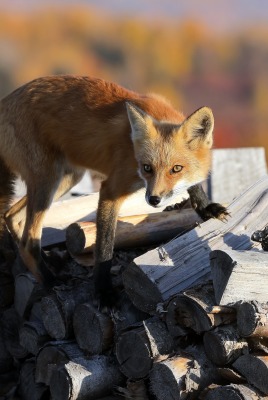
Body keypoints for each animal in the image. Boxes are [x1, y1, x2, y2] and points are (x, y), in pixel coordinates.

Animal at [0, 76, 227, 304]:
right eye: (147, 168)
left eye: (176, 169)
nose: (153, 200)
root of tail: (7, 101)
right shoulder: (111, 190)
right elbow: (105, 246)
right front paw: (104, 291)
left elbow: (194, 185)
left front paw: (207, 208)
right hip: (49, 180)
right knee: (28, 241)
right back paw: (51, 281)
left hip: (67, 178)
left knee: (11, 215)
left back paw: (46, 262)